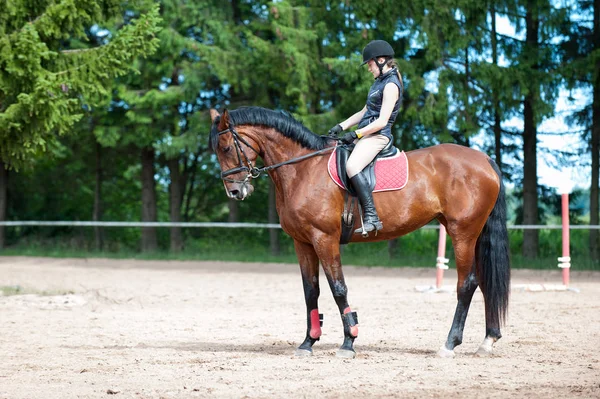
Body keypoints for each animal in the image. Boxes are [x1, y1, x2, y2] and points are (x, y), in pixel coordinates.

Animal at [209, 106, 508, 360]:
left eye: (226, 147)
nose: (235, 191)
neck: (302, 169)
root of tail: (484, 159)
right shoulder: (302, 243)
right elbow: (311, 291)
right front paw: (308, 342)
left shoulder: (324, 239)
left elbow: (338, 288)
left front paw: (348, 342)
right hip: (472, 234)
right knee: (484, 281)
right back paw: (487, 341)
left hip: (462, 233)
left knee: (467, 284)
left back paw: (449, 344)